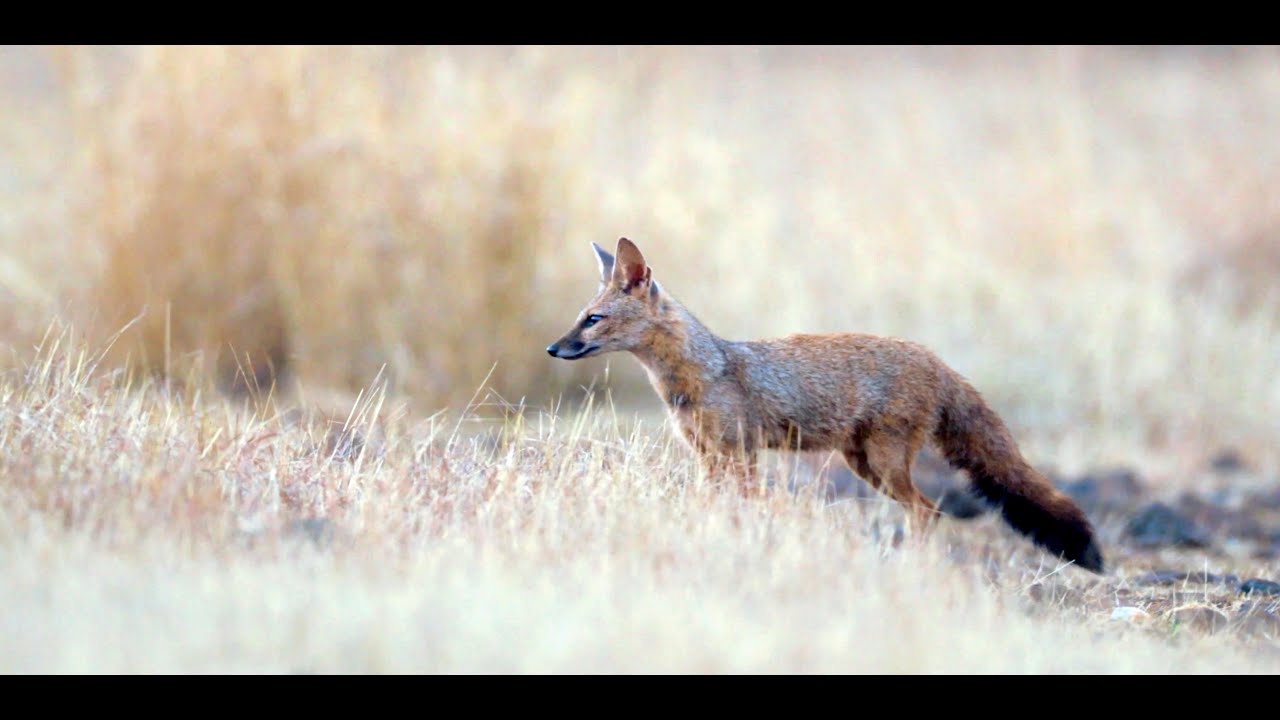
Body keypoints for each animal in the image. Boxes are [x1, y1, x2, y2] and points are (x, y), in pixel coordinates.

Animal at [547, 237, 1105, 573]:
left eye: (593, 320)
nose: (554, 349)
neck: (699, 373)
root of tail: (936, 360)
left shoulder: (739, 453)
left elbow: (746, 507)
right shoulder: (709, 457)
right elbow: (711, 506)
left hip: (883, 464)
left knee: (929, 510)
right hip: (864, 466)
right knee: (928, 510)